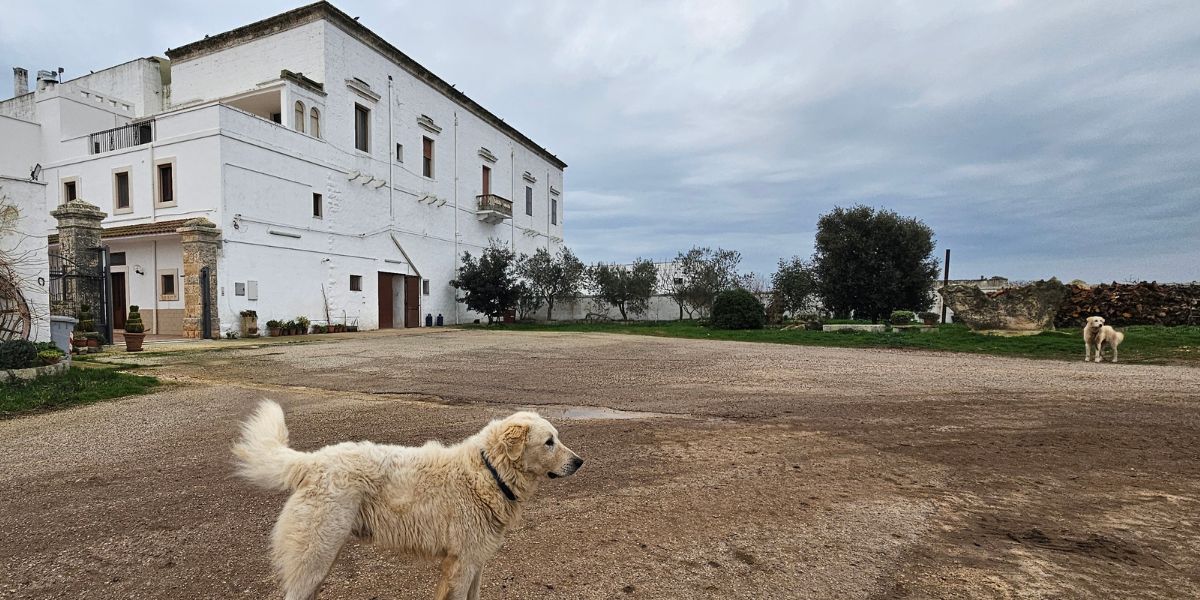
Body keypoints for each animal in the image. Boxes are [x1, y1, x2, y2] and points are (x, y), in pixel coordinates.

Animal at [230, 400, 585, 600]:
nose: (580, 461)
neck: (488, 471)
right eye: (550, 442)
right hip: (314, 558)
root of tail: (311, 461)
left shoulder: (475, 563)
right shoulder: (462, 565)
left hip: (321, 561)